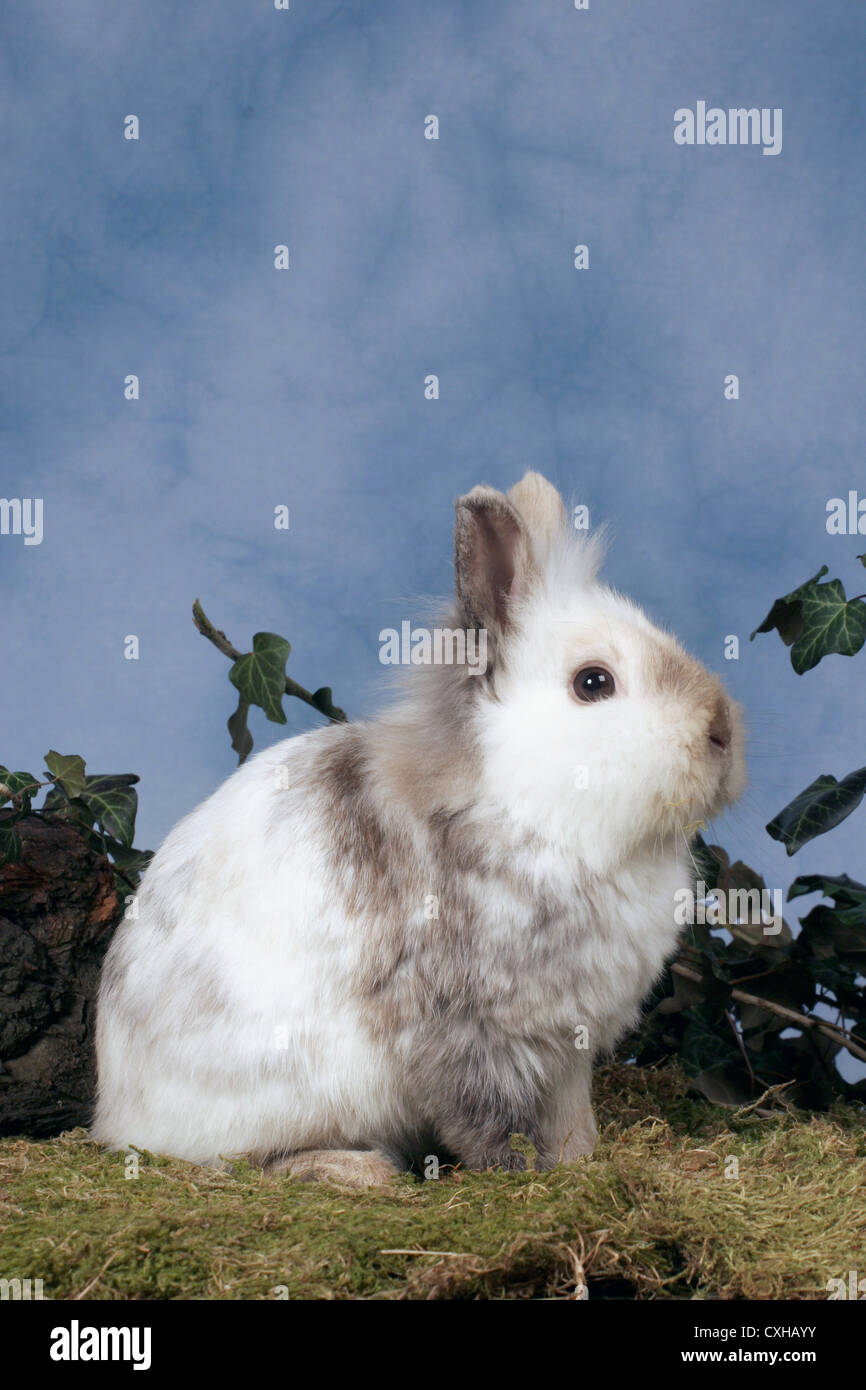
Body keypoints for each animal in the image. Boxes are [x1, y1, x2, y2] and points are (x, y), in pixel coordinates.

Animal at [93, 471, 745, 1186]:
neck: (531, 814)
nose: (722, 733)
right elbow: (490, 1118)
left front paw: (580, 1160)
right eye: (593, 682)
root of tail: (113, 1114)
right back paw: (358, 1170)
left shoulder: (565, 1049)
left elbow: (572, 1116)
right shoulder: (468, 1029)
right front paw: (522, 1174)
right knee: (250, 1164)